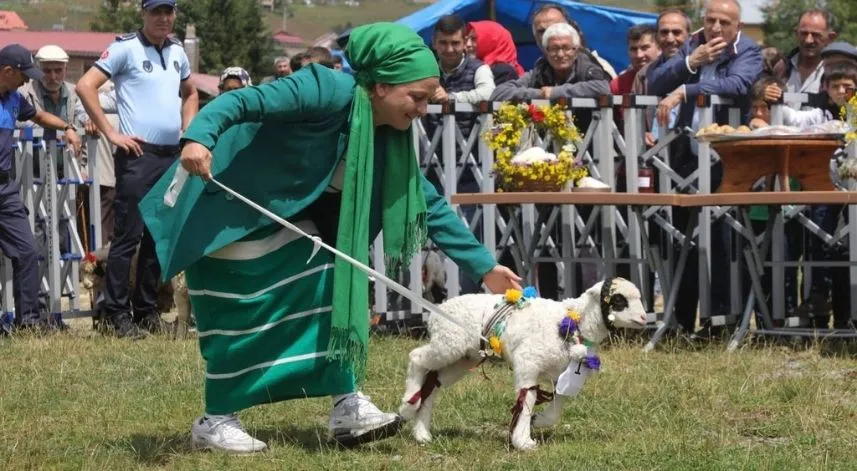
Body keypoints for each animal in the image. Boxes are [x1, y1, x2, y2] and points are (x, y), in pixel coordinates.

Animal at [398, 278, 644, 452]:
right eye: (619, 300)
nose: (643, 318)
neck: (575, 322)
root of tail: (437, 311)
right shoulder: (528, 363)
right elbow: (528, 398)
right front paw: (523, 441)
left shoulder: (560, 373)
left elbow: (557, 404)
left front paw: (539, 421)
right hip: (449, 342)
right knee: (416, 358)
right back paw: (408, 405)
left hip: (464, 358)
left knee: (433, 381)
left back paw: (422, 432)